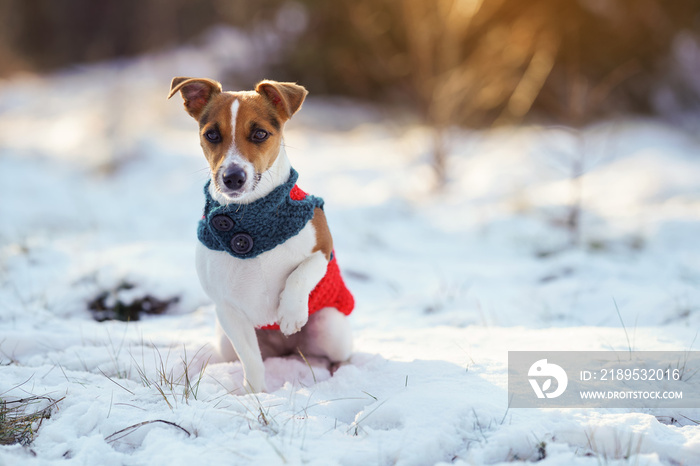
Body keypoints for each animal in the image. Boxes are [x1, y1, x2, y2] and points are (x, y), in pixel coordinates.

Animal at [170, 78, 356, 392]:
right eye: (211, 135)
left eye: (259, 134)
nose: (233, 177)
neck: (250, 214)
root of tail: (287, 350)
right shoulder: (228, 311)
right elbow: (252, 361)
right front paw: (254, 395)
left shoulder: (322, 247)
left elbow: (300, 273)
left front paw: (290, 313)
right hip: (226, 342)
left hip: (329, 326)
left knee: (338, 354)